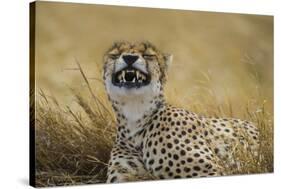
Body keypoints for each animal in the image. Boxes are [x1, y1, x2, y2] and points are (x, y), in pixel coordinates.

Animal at [102, 41, 258, 183]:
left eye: (148, 55)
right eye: (115, 54)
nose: (129, 58)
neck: (135, 117)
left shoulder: (211, 171)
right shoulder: (124, 177)